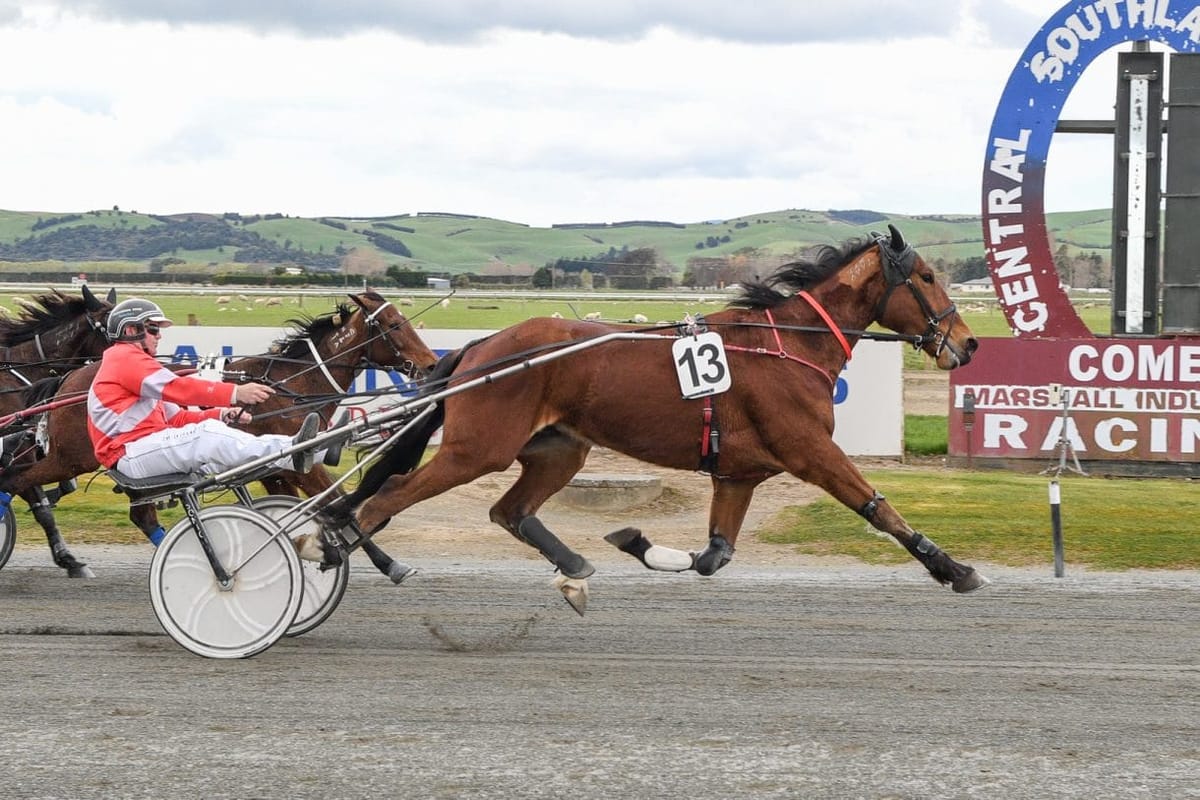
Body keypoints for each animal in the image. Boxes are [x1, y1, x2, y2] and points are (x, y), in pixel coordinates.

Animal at [319, 225, 984, 614]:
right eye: (927, 277)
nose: (968, 343)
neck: (789, 344)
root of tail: (483, 347)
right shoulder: (810, 450)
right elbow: (878, 507)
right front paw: (954, 568)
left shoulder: (738, 473)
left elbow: (714, 555)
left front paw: (636, 543)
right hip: (476, 449)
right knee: (384, 498)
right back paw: (333, 550)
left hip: (560, 448)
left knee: (509, 510)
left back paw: (574, 571)